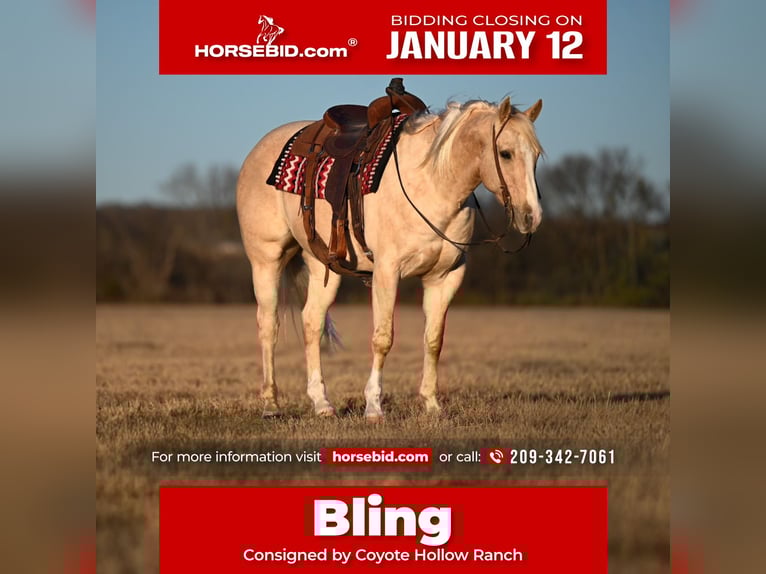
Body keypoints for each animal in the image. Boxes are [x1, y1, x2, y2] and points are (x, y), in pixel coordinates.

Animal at [236, 95, 544, 420]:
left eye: (536, 155)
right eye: (505, 153)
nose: (532, 217)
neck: (432, 184)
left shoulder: (445, 277)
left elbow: (433, 340)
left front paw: (431, 404)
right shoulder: (387, 272)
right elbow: (383, 338)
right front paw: (373, 407)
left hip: (323, 268)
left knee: (311, 322)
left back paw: (322, 404)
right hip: (266, 260)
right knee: (269, 325)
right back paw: (270, 404)